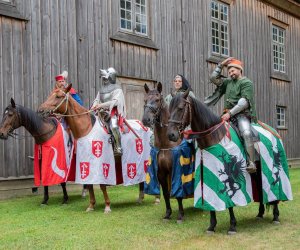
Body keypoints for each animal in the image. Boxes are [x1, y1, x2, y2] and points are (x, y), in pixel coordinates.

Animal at [37, 84, 149, 213]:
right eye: (50, 95)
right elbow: (89, 184)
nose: (40, 110)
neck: (86, 129)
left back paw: (144, 198)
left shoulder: (102, 163)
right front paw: (91, 205)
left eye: (58, 96)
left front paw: (107, 206)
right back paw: (140, 198)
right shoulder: (85, 162)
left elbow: (102, 185)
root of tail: (143, 125)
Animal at [142, 82, 189, 223]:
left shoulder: (175, 171)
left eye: (157, 100)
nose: (146, 120)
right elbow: (167, 193)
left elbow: (178, 193)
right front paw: (168, 214)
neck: (166, 144)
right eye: (145, 100)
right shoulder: (161, 173)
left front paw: (180, 215)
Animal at [166, 89, 290, 233]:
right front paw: (211, 226)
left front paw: (232, 225)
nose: (171, 135)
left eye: (180, 108)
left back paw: (275, 216)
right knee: (260, 187)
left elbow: (230, 201)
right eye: (169, 108)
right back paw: (260, 214)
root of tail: (274, 131)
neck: (215, 136)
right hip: (257, 171)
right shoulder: (207, 175)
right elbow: (211, 200)